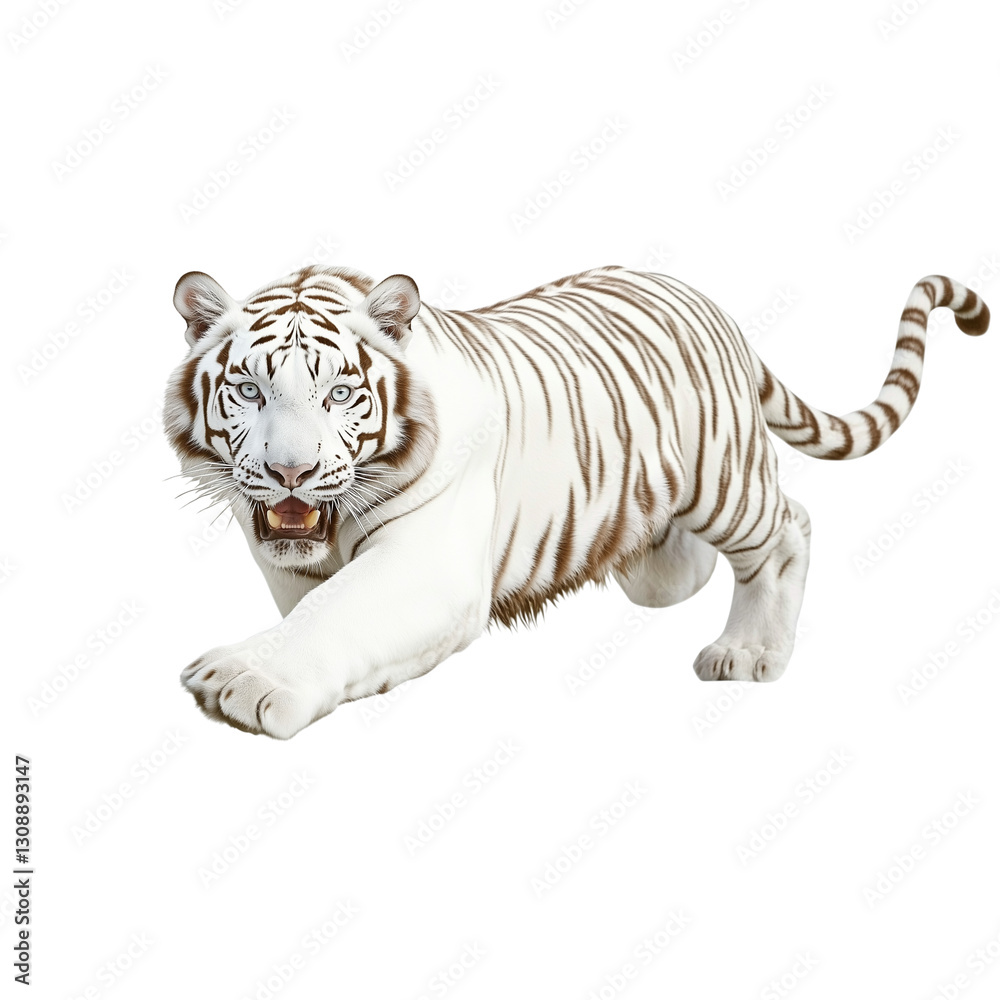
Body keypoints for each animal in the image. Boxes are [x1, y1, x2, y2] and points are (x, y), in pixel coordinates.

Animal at [165, 265, 989, 738]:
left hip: (725, 479)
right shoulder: (287, 559)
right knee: (679, 570)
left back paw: (751, 653)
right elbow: (317, 606)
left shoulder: (431, 562)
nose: (291, 472)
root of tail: (704, 298)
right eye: (248, 389)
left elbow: (338, 613)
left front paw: (243, 683)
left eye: (339, 393)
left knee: (790, 528)